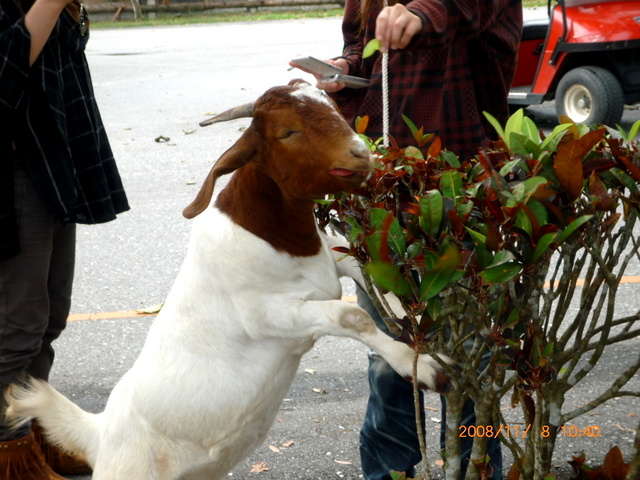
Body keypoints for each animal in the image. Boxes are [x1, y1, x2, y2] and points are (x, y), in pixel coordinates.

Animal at [5, 80, 450, 480]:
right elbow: (350, 315)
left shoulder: (330, 256)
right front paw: (425, 368)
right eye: (288, 132)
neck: (282, 241)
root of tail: (99, 434)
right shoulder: (266, 315)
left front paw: (412, 315)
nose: (362, 155)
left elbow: (371, 270)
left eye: (335, 109)